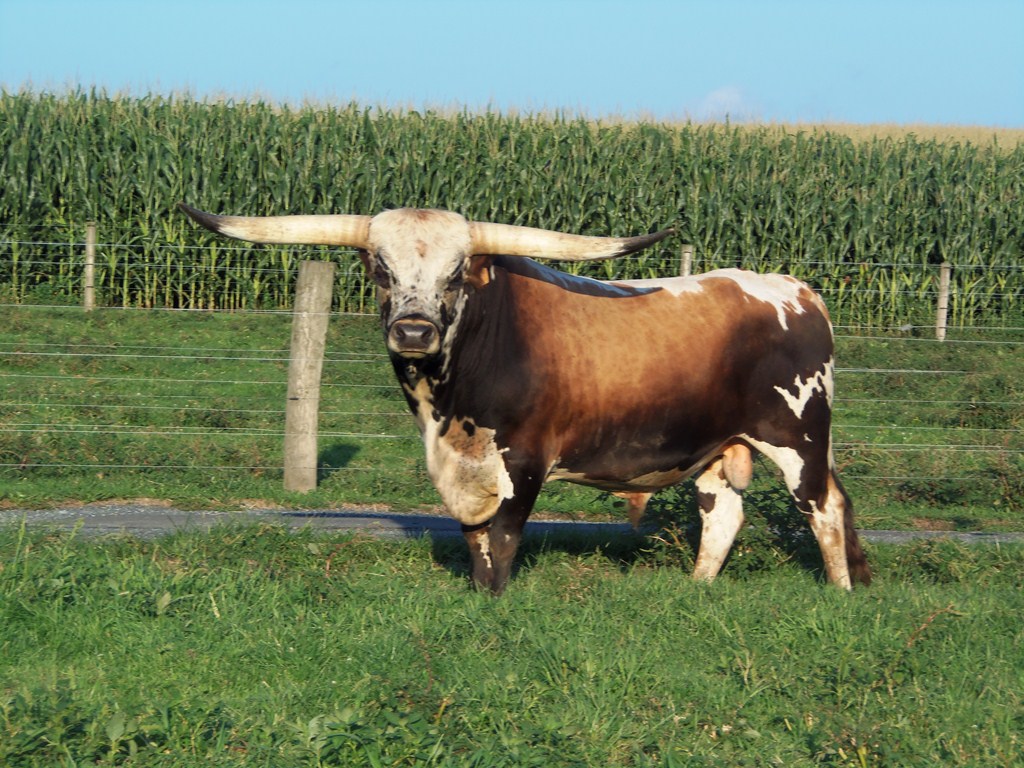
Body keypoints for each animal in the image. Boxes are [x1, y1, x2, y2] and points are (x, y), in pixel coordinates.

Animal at [181, 203, 871, 595]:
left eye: (457, 273)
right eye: (379, 268)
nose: (414, 331)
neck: (450, 404)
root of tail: (796, 289)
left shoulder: (525, 459)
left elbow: (507, 535)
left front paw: (494, 599)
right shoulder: (460, 465)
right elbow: (473, 535)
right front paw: (476, 591)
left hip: (798, 436)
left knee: (824, 507)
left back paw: (839, 593)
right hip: (718, 446)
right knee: (725, 513)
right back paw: (699, 591)